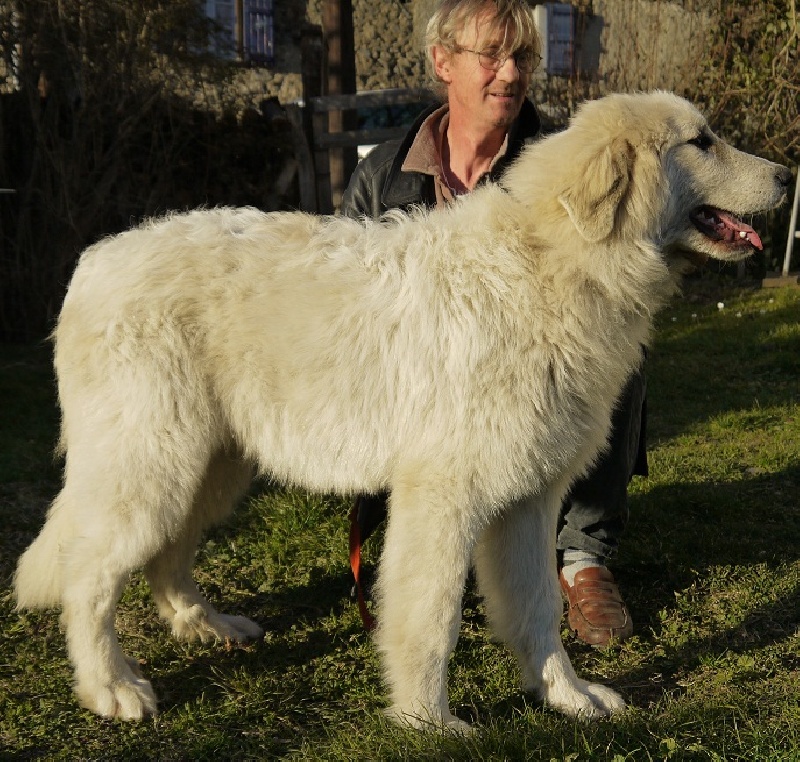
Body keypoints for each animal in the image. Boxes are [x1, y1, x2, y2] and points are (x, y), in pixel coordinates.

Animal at [14, 92, 790, 732]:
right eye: (701, 141)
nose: (788, 175)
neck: (553, 265)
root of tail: (93, 262)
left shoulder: (529, 500)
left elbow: (539, 609)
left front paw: (567, 697)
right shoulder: (444, 497)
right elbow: (429, 616)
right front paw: (427, 721)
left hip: (212, 465)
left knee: (166, 555)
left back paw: (205, 625)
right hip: (151, 465)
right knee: (89, 576)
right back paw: (112, 687)